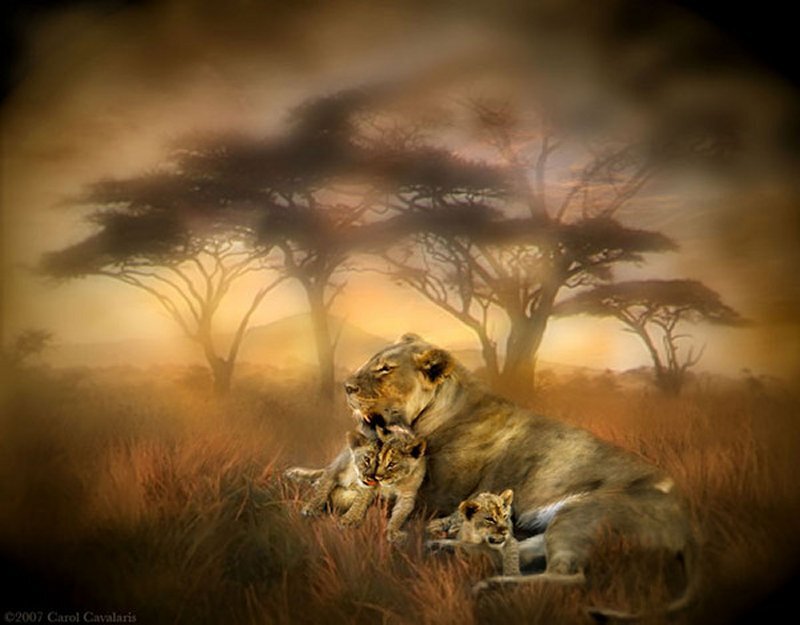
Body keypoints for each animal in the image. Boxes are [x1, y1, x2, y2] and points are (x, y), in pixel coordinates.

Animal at [337, 333, 699, 617]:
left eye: (385, 369)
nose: (346, 386)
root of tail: (688, 524)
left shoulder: (433, 497)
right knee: (518, 550)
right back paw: (445, 548)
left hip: (584, 512)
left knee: (568, 576)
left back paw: (487, 585)